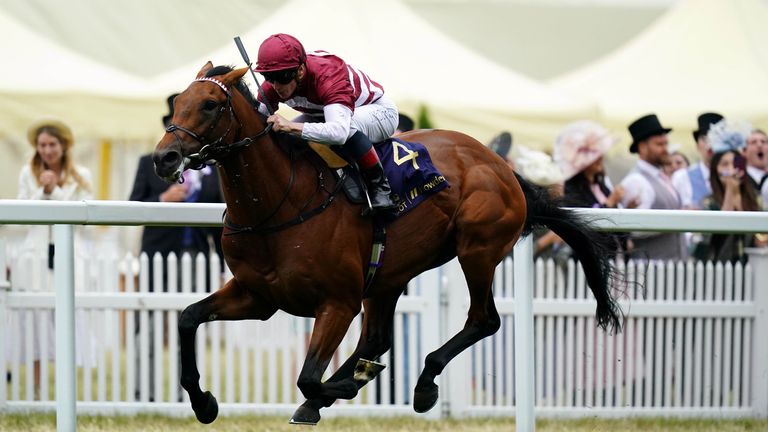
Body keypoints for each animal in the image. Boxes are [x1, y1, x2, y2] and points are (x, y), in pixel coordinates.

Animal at [153, 62, 620, 424]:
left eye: (211, 105)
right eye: (177, 104)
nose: (164, 158)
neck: (280, 203)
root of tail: (501, 165)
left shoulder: (338, 302)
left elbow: (308, 377)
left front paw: (334, 390)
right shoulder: (258, 296)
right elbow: (187, 318)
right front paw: (204, 402)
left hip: (478, 248)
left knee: (484, 320)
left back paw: (420, 384)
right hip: (389, 275)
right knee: (378, 340)